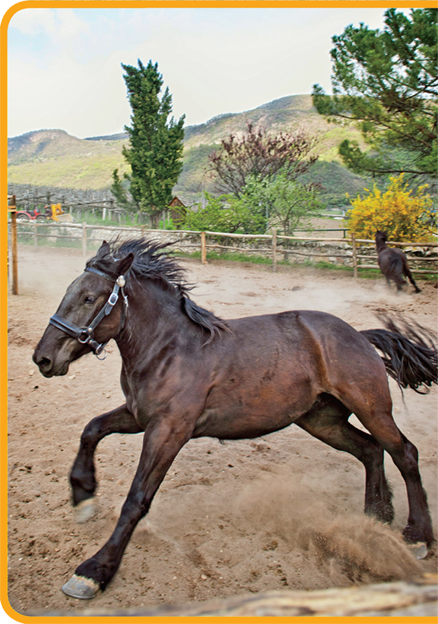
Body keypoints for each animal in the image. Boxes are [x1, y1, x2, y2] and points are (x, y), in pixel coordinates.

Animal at [33, 239, 438, 600]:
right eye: (69, 291)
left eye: (90, 298)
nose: (43, 358)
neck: (167, 349)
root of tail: (360, 335)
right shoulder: (137, 416)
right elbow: (91, 430)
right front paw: (83, 495)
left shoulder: (169, 430)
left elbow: (136, 499)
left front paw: (95, 571)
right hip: (322, 421)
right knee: (370, 451)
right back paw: (375, 518)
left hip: (372, 408)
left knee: (405, 453)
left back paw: (417, 536)